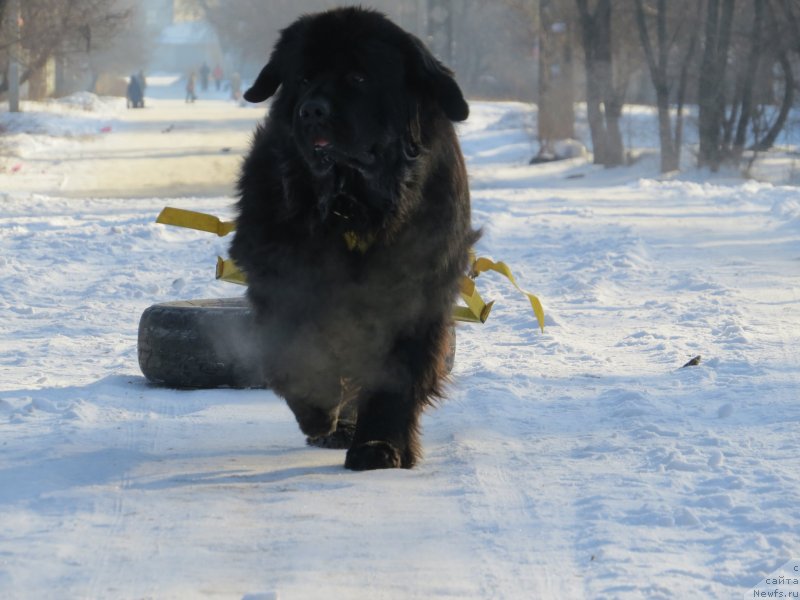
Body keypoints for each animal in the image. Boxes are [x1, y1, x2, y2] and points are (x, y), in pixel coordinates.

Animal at [228, 7, 478, 472]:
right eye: (304, 78)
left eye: (359, 77)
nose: (311, 111)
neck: (352, 206)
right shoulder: (283, 279)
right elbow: (297, 350)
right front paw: (319, 411)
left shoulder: (416, 291)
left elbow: (396, 376)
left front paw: (379, 447)